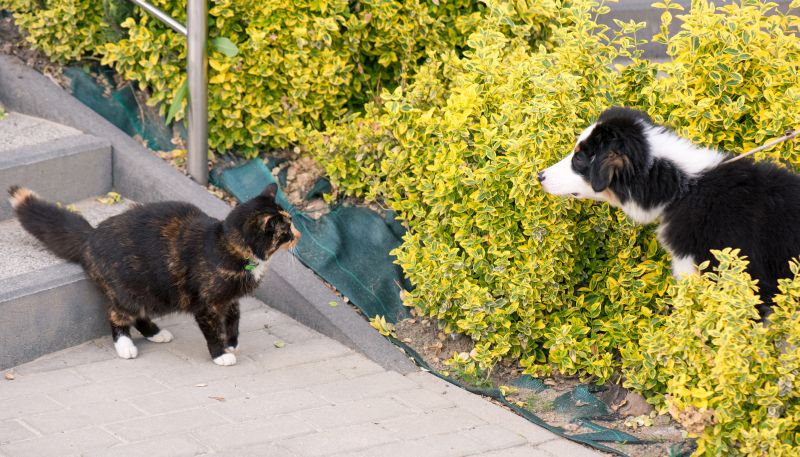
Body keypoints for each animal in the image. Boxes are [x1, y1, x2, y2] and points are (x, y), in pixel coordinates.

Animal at [8, 183, 296, 366]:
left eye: (290, 223)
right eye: (286, 229)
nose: (298, 234)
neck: (227, 245)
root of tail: (90, 236)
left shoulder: (230, 299)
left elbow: (234, 318)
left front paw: (232, 342)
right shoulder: (205, 304)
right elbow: (213, 330)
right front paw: (220, 354)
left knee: (138, 316)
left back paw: (156, 333)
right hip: (131, 290)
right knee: (116, 314)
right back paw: (126, 346)